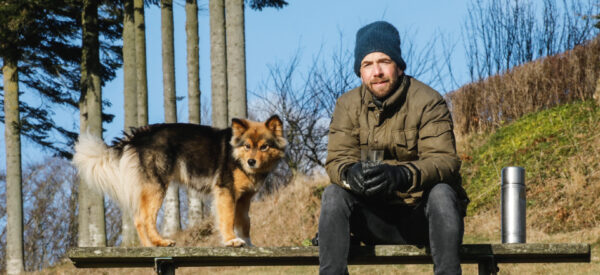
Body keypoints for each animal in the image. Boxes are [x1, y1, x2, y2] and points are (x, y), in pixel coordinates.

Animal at [71, 115, 288, 247]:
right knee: (145, 218)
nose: (251, 162)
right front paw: (231, 240)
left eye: (264, 147)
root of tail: (138, 136)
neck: (237, 157)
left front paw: (248, 243)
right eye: (247, 146)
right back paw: (161, 242)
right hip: (157, 187)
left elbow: (245, 223)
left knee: (138, 218)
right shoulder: (225, 192)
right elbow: (228, 219)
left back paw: (149, 247)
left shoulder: (244, 199)